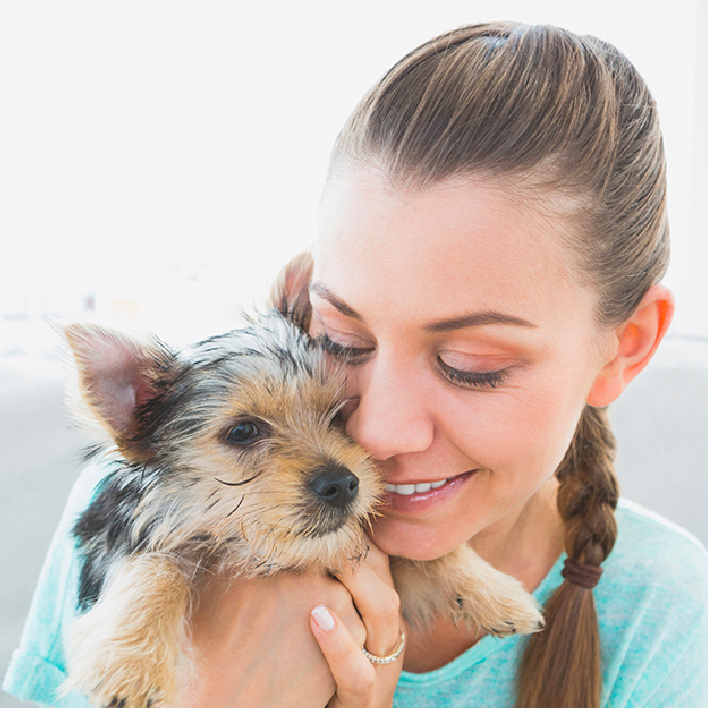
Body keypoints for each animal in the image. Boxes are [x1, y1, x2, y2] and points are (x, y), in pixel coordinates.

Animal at [60, 262, 544, 704]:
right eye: (242, 431)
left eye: (340, 415)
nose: (343, 484)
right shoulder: (118, 534)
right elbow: (154, 566)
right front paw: (131, 664)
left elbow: (429, 551)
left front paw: (497, 593)